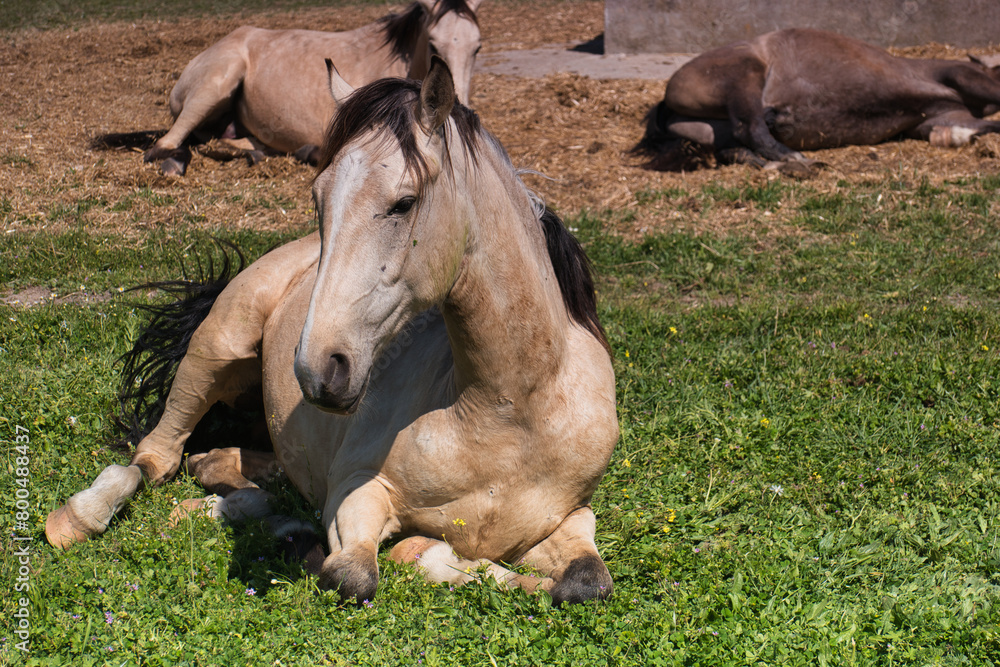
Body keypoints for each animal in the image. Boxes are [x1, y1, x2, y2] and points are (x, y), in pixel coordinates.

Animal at [46, 57, 620, 606]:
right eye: (318, 197)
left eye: (404, 202)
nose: (316, 369)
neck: (507, 412)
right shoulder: (357, 490)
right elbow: (354, 575)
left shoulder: (573, 518)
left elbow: (586, 584)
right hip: (217, 349)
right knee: (153, 459)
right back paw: (82, 515)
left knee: (236, 466)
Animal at [636, 28, 1000, 173]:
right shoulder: (961, 76)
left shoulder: (936, 119)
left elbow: (977, 125)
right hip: (743, 76)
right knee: (750, 128)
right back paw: (797, 160)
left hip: (713, 132)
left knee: (737, 149)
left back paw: (787, 166)